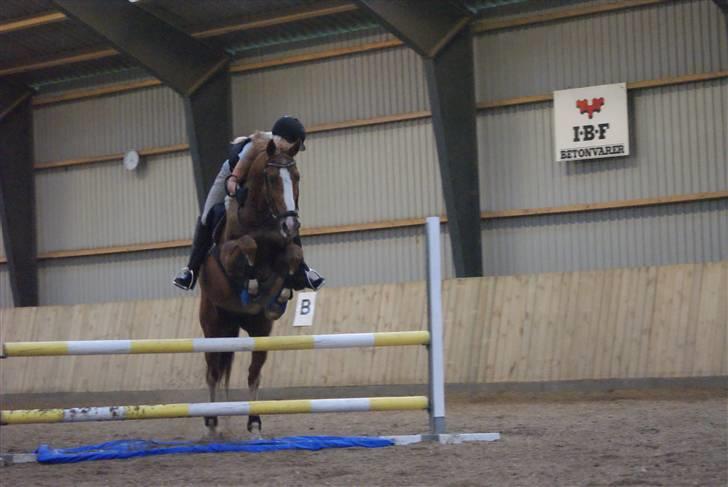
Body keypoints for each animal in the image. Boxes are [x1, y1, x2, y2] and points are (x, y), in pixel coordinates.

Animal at [198, 136, 302, 438]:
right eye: (272, 178)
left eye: (296, 176)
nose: (291, 223)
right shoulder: (229, 252)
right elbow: (248, 245)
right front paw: (253, 282)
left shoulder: (285, 246)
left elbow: (293, 254)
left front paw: (282, 292)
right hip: (213, 328)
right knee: (212, 372)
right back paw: (212, 424)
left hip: (259, 330)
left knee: (253, 374)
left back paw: (254, 424)